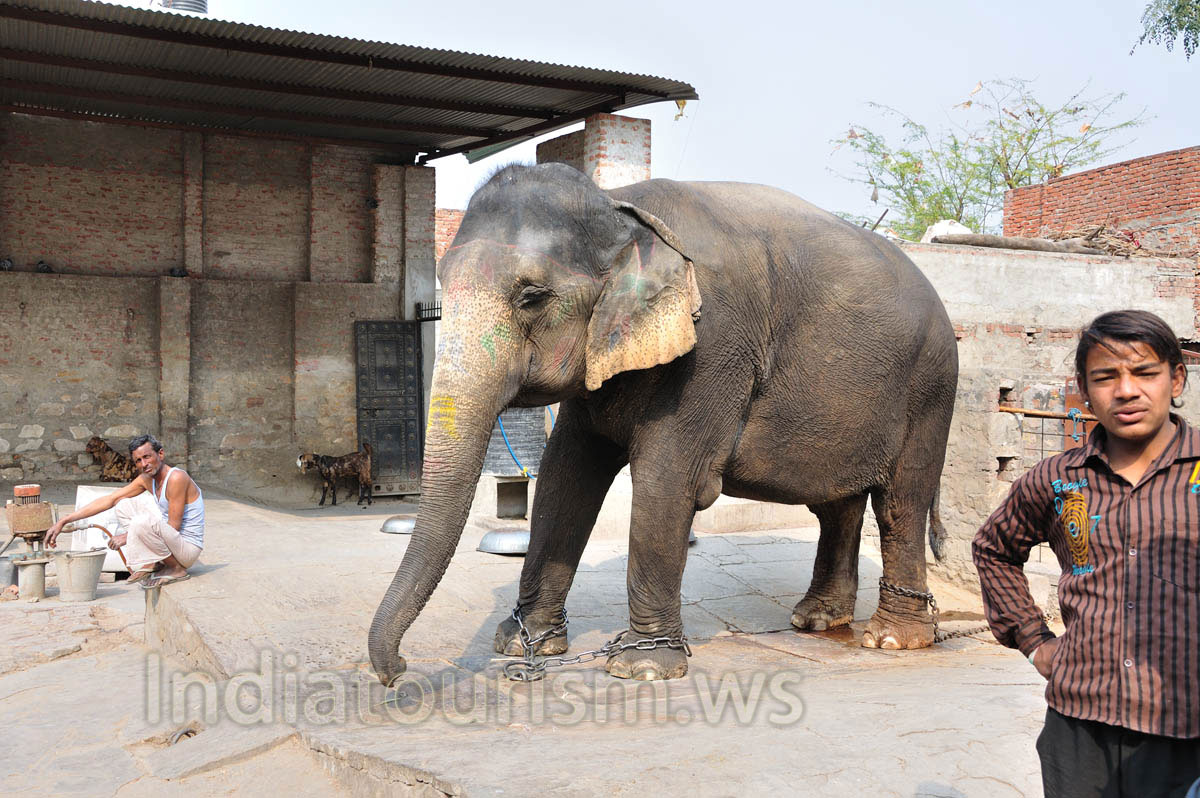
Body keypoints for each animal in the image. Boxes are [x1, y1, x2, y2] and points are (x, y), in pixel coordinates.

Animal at [368, 163, 958, 686]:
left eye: (531, 297)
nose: (397, 672)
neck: (620, 208)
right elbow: (566, 474)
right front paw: (521, 645)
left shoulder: (712, 347)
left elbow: (665, 479)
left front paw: (642, 667)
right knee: (838, 504)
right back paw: (816, 620)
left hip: (930, 388)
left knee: (900, 501)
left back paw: (890, 639)